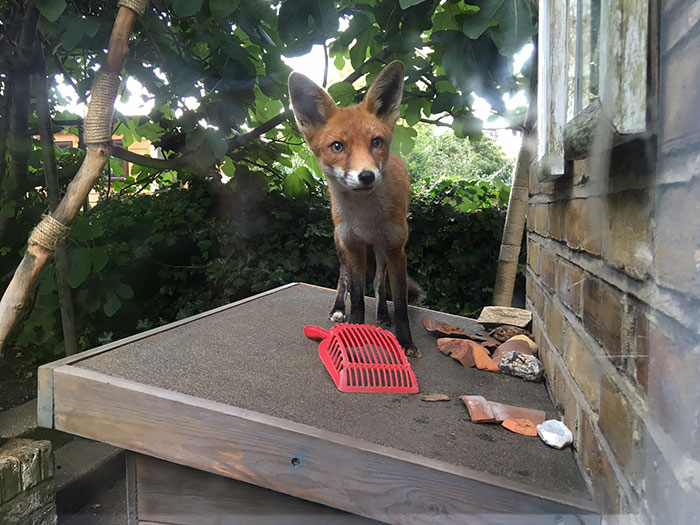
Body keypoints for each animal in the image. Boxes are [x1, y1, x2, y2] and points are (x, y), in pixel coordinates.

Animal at [288, 60, 422, 358]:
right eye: (337, 146)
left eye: (376, 142)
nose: (367, 176)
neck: (366, 218)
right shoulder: (353, 246)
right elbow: (358, 297)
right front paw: (353, 332)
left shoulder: (396, 249)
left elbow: (400, 305)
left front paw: (406, 342)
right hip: (341, 245)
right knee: (344, 279)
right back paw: (339, 309)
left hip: (380, 252)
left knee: (379, 284)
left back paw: (382, 314)